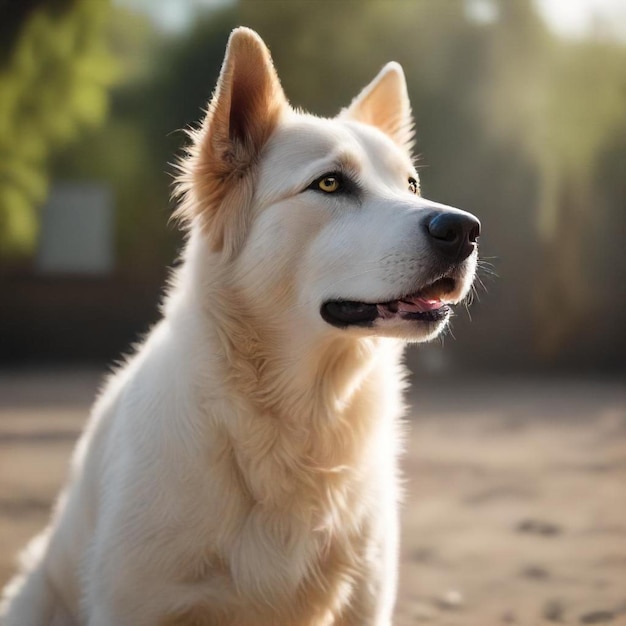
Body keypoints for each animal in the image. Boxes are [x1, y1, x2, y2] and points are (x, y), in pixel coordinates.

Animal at [0, 26, 478, 620]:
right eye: (329, 184)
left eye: (410, 186)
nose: (465, 231)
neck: (299, 416)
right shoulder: (135, 603)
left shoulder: (364, 603)